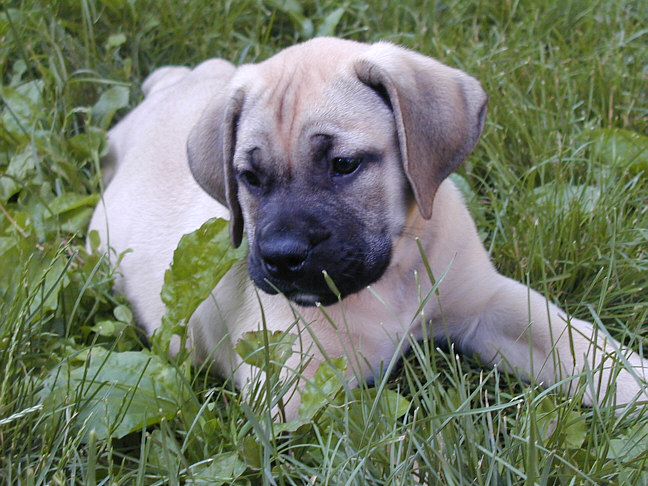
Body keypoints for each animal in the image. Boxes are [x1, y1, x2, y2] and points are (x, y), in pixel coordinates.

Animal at [90, 37, 648, 418]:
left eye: (343, 165)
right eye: (248, 178)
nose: (281, 256)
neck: (392, 277)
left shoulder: (489, 301)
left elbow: (580, 345)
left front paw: (634, 384)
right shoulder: (294, 398)